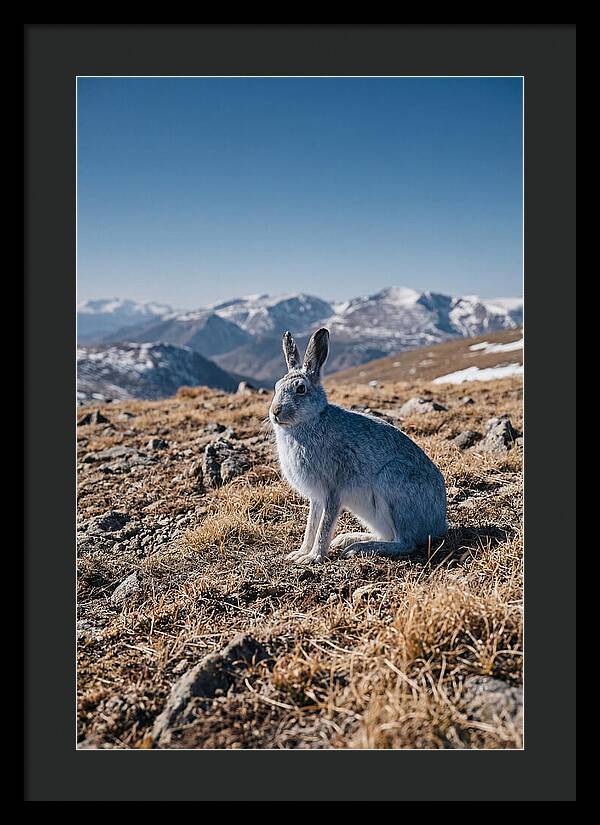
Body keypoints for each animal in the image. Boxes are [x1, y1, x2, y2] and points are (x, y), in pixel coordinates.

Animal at [269, 327, 447, 564]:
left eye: (300, 389)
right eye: (276, 386)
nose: (275, 412)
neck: (310, 421)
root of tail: (439, 524)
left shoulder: (333, 490)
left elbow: (324, 526)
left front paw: (314, 557)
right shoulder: (316, 498)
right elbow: (311, 525)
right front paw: (300, 553)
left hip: (393, 484)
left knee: (405, 542)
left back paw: (359, 548)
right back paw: (348, 539)